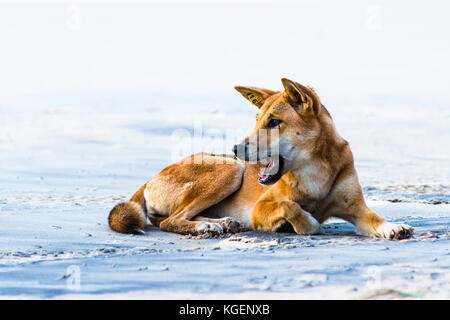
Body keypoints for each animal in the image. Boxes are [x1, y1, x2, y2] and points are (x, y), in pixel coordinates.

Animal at [107, 79, 414, 240]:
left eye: (274, 122)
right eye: (256, 120)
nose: (234, 148)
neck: (315, 170)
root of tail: (151, 178)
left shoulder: (355, 207)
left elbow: (374, 218)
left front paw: (392, 226)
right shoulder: (262, 207)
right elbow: (292, 208)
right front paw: (307, 223)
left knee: (168, 218)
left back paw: (223, 223)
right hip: (231, 171)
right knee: (170, 220)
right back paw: (207, 226)